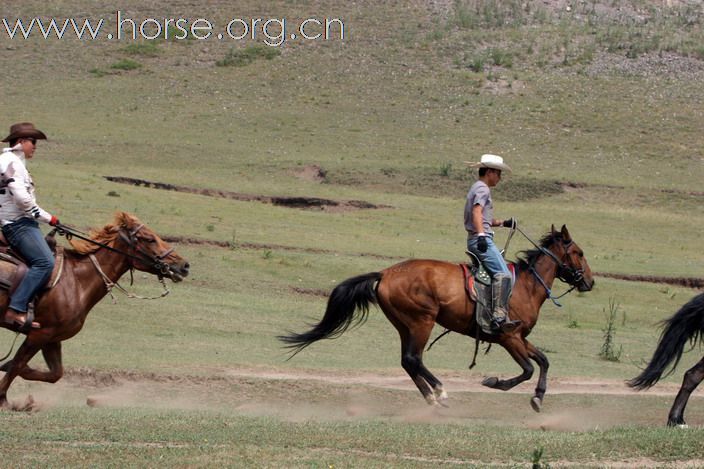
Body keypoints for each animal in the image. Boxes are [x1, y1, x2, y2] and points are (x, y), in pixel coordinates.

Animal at [0, 212, 190, 406]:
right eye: (150, 239)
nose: (184, 265)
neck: (76, 280)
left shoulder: (52, 338)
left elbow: (54, 373)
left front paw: (9, 373)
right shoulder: (39, 334)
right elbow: (17, 365)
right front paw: (4, 400)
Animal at [280, 223, 592, 410]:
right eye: (578, 252)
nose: (589, 282)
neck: (526, 286)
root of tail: (385, 273)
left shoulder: (521, 338)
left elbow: (543, 361)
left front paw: (538, 397)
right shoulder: (509, 337)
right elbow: (527, 369)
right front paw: (495, 382)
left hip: (404, 325)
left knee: (407, 361)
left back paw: (431, 397)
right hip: (422, 321)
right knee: (414, 358)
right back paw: (439, 391)